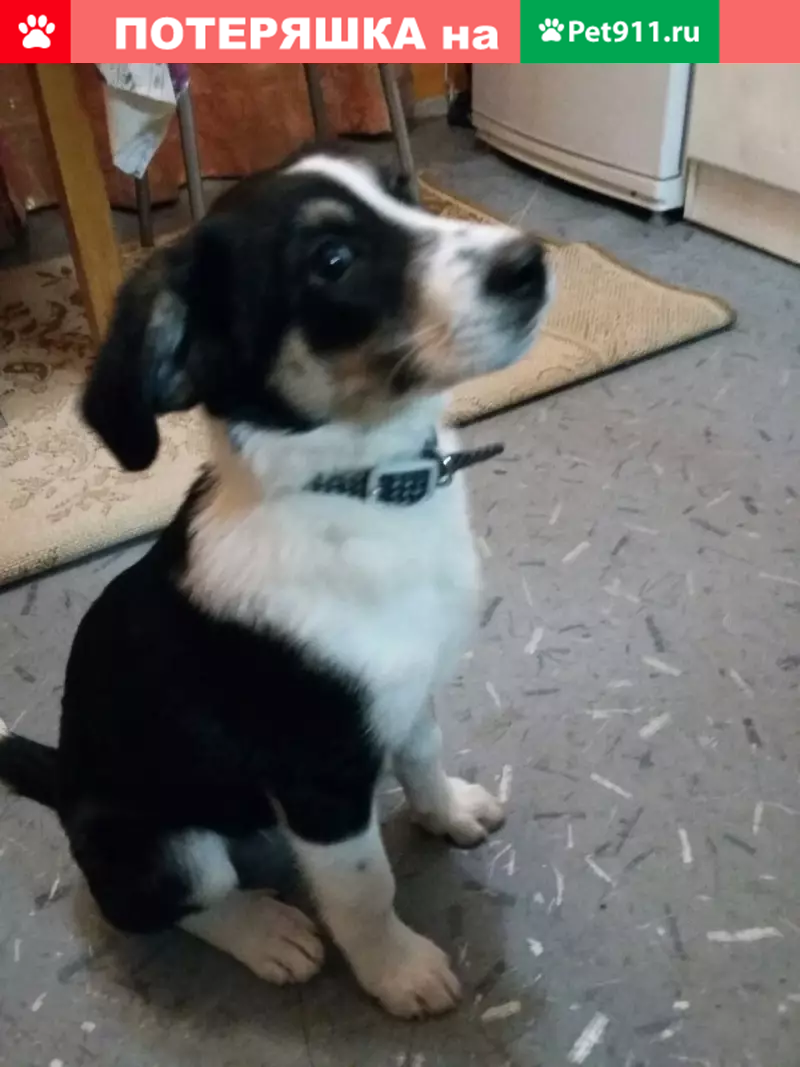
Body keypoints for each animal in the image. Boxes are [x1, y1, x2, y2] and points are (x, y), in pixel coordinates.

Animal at [0, 147, 549, 1018]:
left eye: (404, 192)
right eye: (332, 261)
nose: (530, 263)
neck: (363, 494)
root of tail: (62, 785)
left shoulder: (406, 691)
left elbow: (423, 757)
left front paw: (449, 811)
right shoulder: (321, 776)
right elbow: (364, 887)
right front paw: (398, 970)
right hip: (160, 845)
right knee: (174, 902)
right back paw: (267, 932)